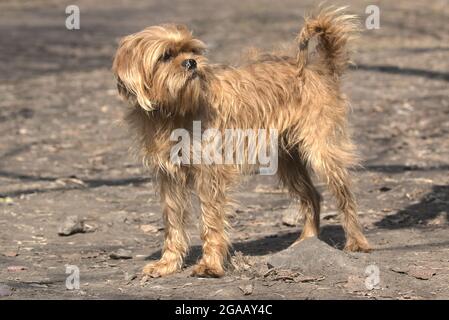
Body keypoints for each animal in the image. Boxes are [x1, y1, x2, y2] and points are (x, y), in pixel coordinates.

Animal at [113, 6, 372, 278]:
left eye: (192, 51)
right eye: (165, 56)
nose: (191, 62)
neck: (174, 110)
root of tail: (319, 69)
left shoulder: (210, 175)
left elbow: (211, 221)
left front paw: (210, 264)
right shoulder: (169, 179)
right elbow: (173, 223)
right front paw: (168, 263)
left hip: (321, 154)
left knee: (344, 197)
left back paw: (356, 242)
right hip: (288, 162)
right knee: (312, 196)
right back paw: (307, 242)